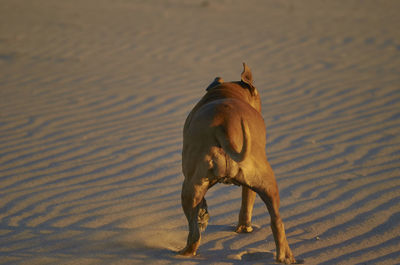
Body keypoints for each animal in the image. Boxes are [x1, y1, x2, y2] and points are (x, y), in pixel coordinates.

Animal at [180, 62, 296, 262]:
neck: (225, 92)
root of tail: (225, 125)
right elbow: (246, 203)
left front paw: (203, 213)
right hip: (266, 183)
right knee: (276, 221)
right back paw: (285, 256)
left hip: (190, 187)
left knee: (194, 230)